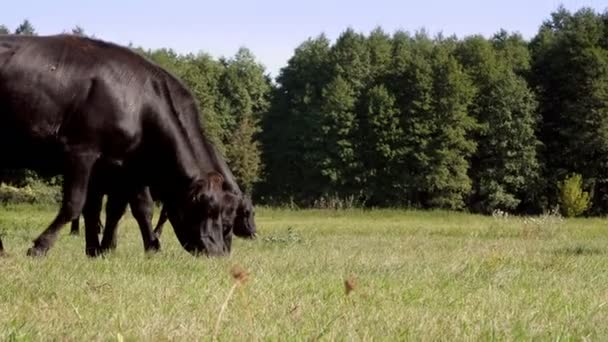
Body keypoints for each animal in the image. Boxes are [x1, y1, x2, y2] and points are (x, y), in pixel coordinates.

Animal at [0, 34, 233, 256]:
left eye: (223, 214)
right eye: (204, 207)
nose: (218, 252)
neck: (140, 105)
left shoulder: (121, 167)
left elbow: (127, 208)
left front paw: (105, 249)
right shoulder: (82, 151)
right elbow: (75, 203)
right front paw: (41, 246)